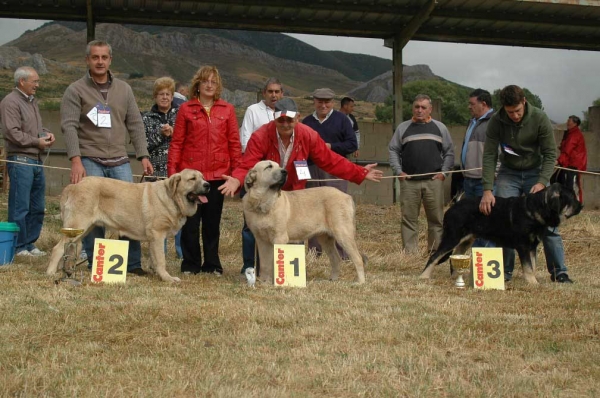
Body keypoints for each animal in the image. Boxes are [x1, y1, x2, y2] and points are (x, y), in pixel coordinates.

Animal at [47, 169, 211, 282]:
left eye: (203, 178)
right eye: (192, 179)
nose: (208, 185)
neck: (172, 198)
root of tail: (74, 185)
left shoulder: (154, 239)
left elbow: (155, 258)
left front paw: (156, 273)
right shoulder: (157, 234)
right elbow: (161, 260)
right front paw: (167, 278)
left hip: (83, 230)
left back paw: (66, 270)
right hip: (77, 226)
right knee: (57, 249)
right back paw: (51, 272)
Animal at [422, 183, 580, 282]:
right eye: (571, 197)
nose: (581, 205)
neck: (535, 209)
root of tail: (450, 209)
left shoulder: (532, 246)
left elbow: (532, 266)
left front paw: (531, 281)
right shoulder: (523, 246)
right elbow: (528, 267)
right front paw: (533, 283)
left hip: (466, 239)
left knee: (455, 255)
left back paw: (456, 277)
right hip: (452, 237)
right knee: (434, 256)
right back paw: (424, 276)